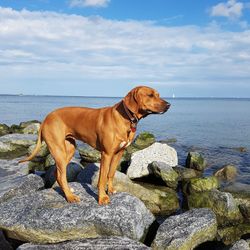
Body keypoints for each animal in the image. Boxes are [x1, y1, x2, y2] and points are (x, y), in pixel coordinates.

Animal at [19, 87, 170, 204]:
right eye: (150, 95)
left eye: (158, 94)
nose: (169, 105)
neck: (125, 118)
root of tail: (46, 119)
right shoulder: (106, 154)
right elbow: (102, 178)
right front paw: (102, 198)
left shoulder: (118, 153)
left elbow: (111, 173)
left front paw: (111, 190)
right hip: (58, 150)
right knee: (61, 175)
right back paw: (70, 197)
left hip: (69, 150)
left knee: (58, 173)